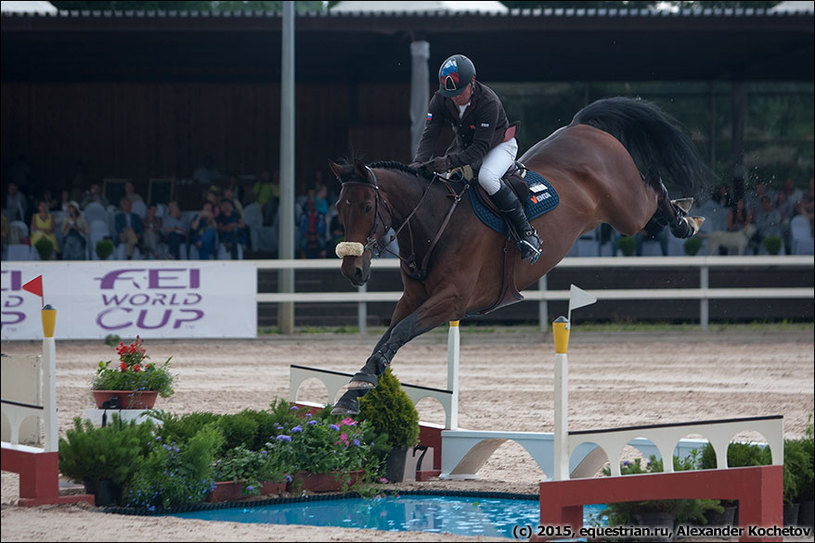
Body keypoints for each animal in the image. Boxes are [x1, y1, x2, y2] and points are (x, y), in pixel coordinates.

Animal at [328, 96, 712, 416]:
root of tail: (582, 126)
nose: (353, 270)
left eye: (367, 207)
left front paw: (359, 384)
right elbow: (389, 336)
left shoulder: (452, 300)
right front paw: (355, 390)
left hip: (626, 210)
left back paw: (685, 221)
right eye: (339, 209)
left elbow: (401, 331)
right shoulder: (414, 297)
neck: (435, 221)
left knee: (653, 189)